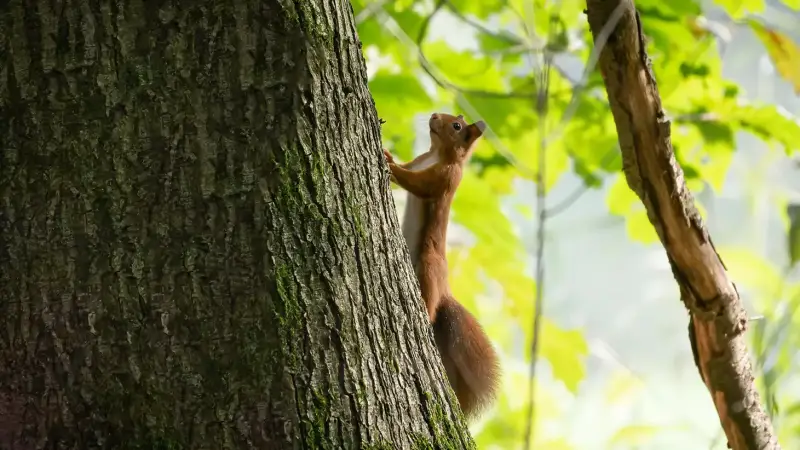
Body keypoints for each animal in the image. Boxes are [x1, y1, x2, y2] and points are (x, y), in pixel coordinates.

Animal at [383, 112, 501, 420]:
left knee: (431, 305)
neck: (437, 153)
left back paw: (424, 312)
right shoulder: (419, 160)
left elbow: (417, 184)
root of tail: (445, 289)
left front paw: (388, 166)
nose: (434, 115)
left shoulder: (445, 178)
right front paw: (387, 154)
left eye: (457, 126)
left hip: (429, 264)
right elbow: (408, 169)